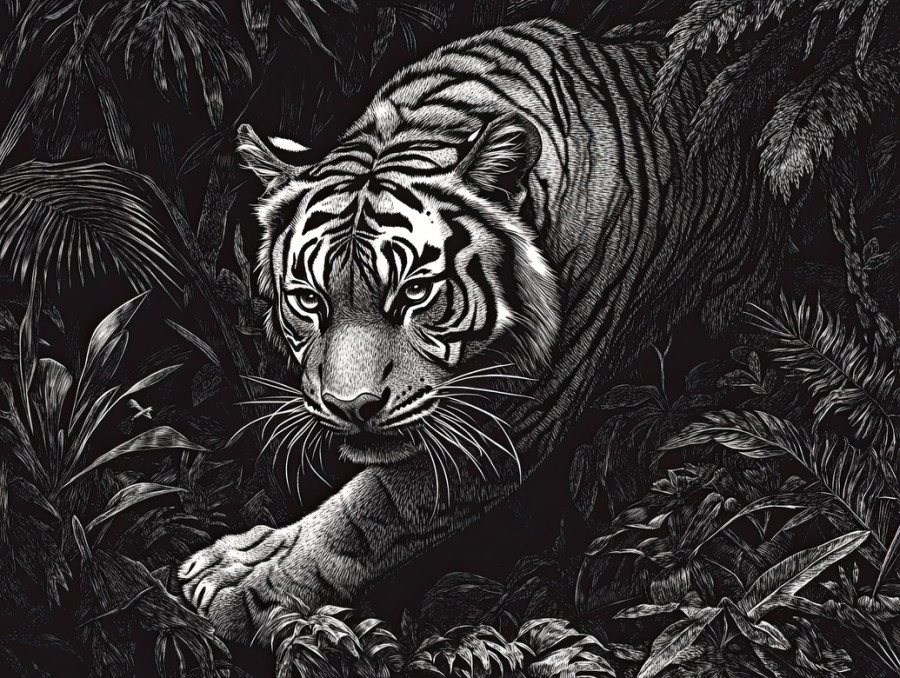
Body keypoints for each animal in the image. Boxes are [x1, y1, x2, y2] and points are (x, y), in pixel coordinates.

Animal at [178, 17, 785, 642]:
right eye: (308, 300)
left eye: (414, 293)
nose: (352, 407)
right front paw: (240, 558)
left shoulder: (511, 418)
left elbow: (361, 518)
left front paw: (249, 593)